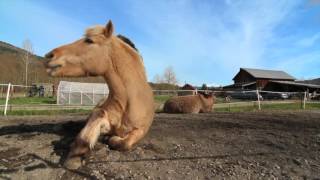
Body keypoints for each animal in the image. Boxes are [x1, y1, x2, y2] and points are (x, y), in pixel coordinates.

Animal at [44, 20, 154, 169]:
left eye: (89, 40)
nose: (49, 55)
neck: (128, 101)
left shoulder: (141, 130)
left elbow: (122, 143)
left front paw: (109, 138)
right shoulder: (102, 115)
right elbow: (97, 117)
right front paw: (77, 153)